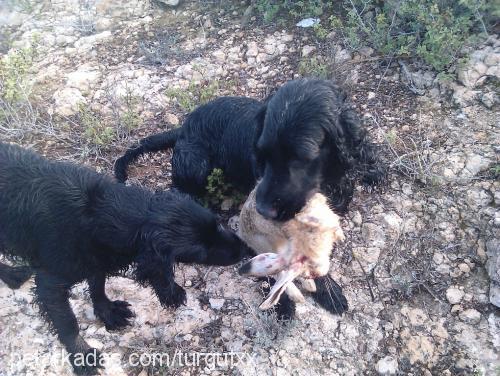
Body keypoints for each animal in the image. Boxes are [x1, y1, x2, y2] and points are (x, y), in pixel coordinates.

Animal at [0, 142, 247, 376]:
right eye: (200, 250)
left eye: (217, 223)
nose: (244, 249)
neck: (95, 211)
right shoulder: (50, 283)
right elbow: (69, 324)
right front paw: (83, 356)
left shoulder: (97, 258)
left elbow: (97, 285)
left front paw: (107, 311)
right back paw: (12, 274)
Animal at [115, 79, 384, 318]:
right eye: (263, 153)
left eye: (301, 158)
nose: (262, 209)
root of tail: (184, 127)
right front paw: (289, 302)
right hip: (196, 164)